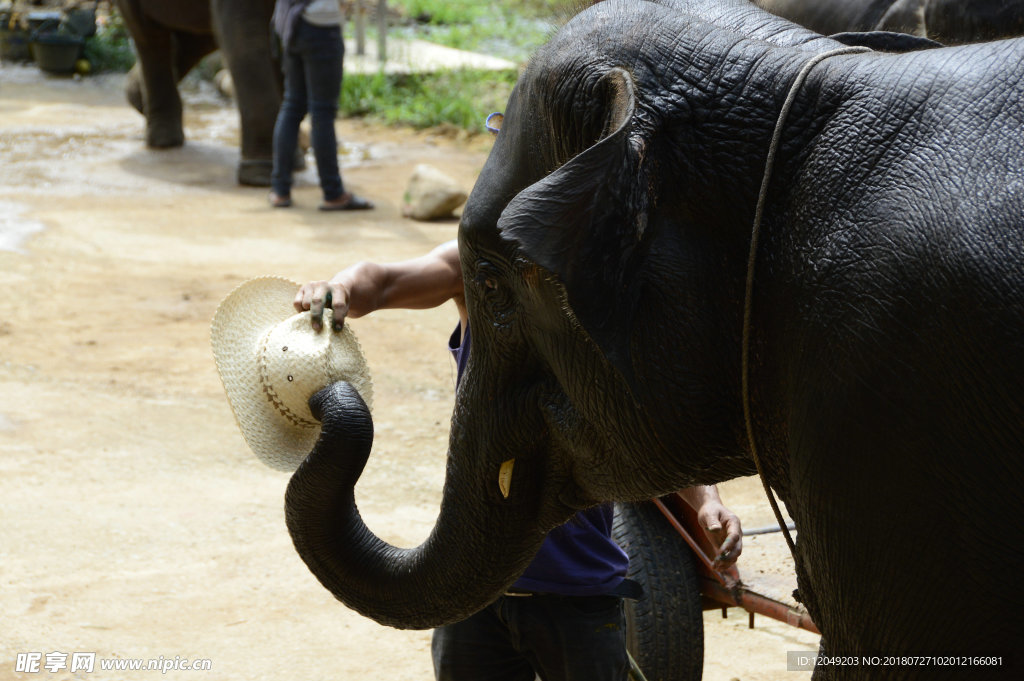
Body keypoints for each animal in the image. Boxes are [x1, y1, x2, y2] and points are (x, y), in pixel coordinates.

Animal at [115, 0, 282, 184]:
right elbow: (245, 35)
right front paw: (261, 177)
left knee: (195, 39)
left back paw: (139, 101)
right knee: (149, 37)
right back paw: (164, 141)